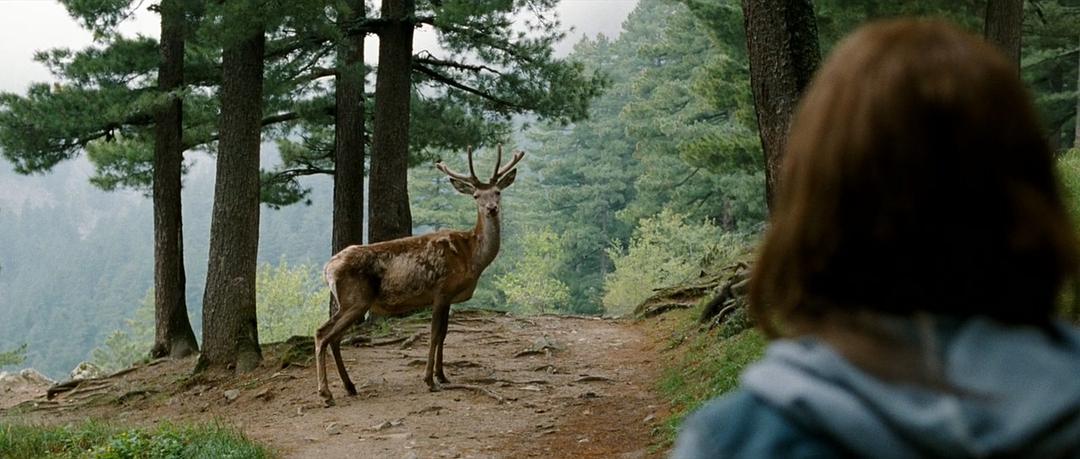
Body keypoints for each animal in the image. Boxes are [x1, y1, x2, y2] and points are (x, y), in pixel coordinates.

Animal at [315, 144, 524, 401]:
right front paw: (429, 380)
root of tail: (327, 268)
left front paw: (442, 376)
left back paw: (349, 386)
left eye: (497, 192)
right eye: (476, 195)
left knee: (332, 336)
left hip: (349, 302)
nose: (491, 209)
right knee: (323, 334)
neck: (471, 257)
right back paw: (326, 393)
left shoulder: (449, 297)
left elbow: (444, 334)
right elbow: (434, 334)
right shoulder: (442, 290)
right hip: (355, 299)